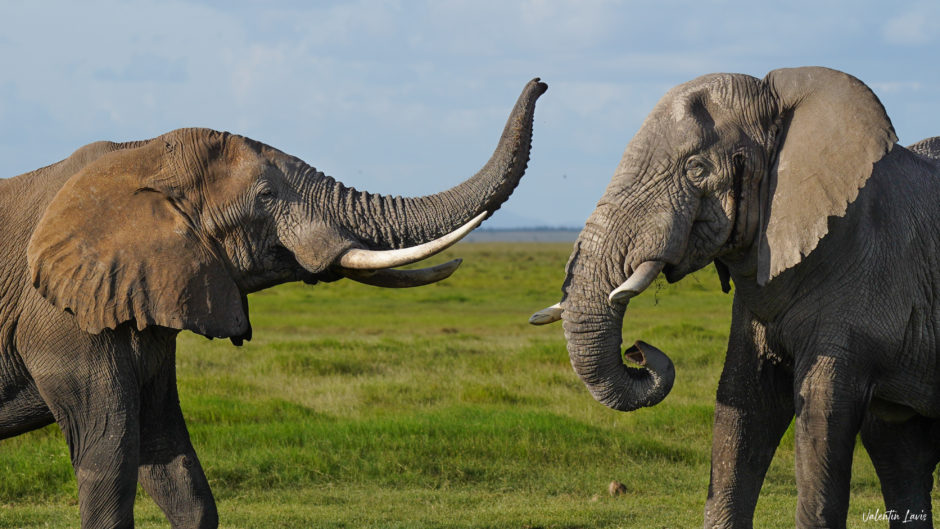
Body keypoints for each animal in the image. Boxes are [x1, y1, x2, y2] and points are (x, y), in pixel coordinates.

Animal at [0, 78, 548, 528]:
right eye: (266, 196)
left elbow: (170, 460)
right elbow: (111, 456)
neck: (140, 155)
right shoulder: (62, 321)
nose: (541, 83)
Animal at [536, 67, 940, 528]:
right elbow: (743, 404)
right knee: (902, 457)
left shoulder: (865, 272)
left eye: (696, 168)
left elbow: (822, 413)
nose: (637, 350)